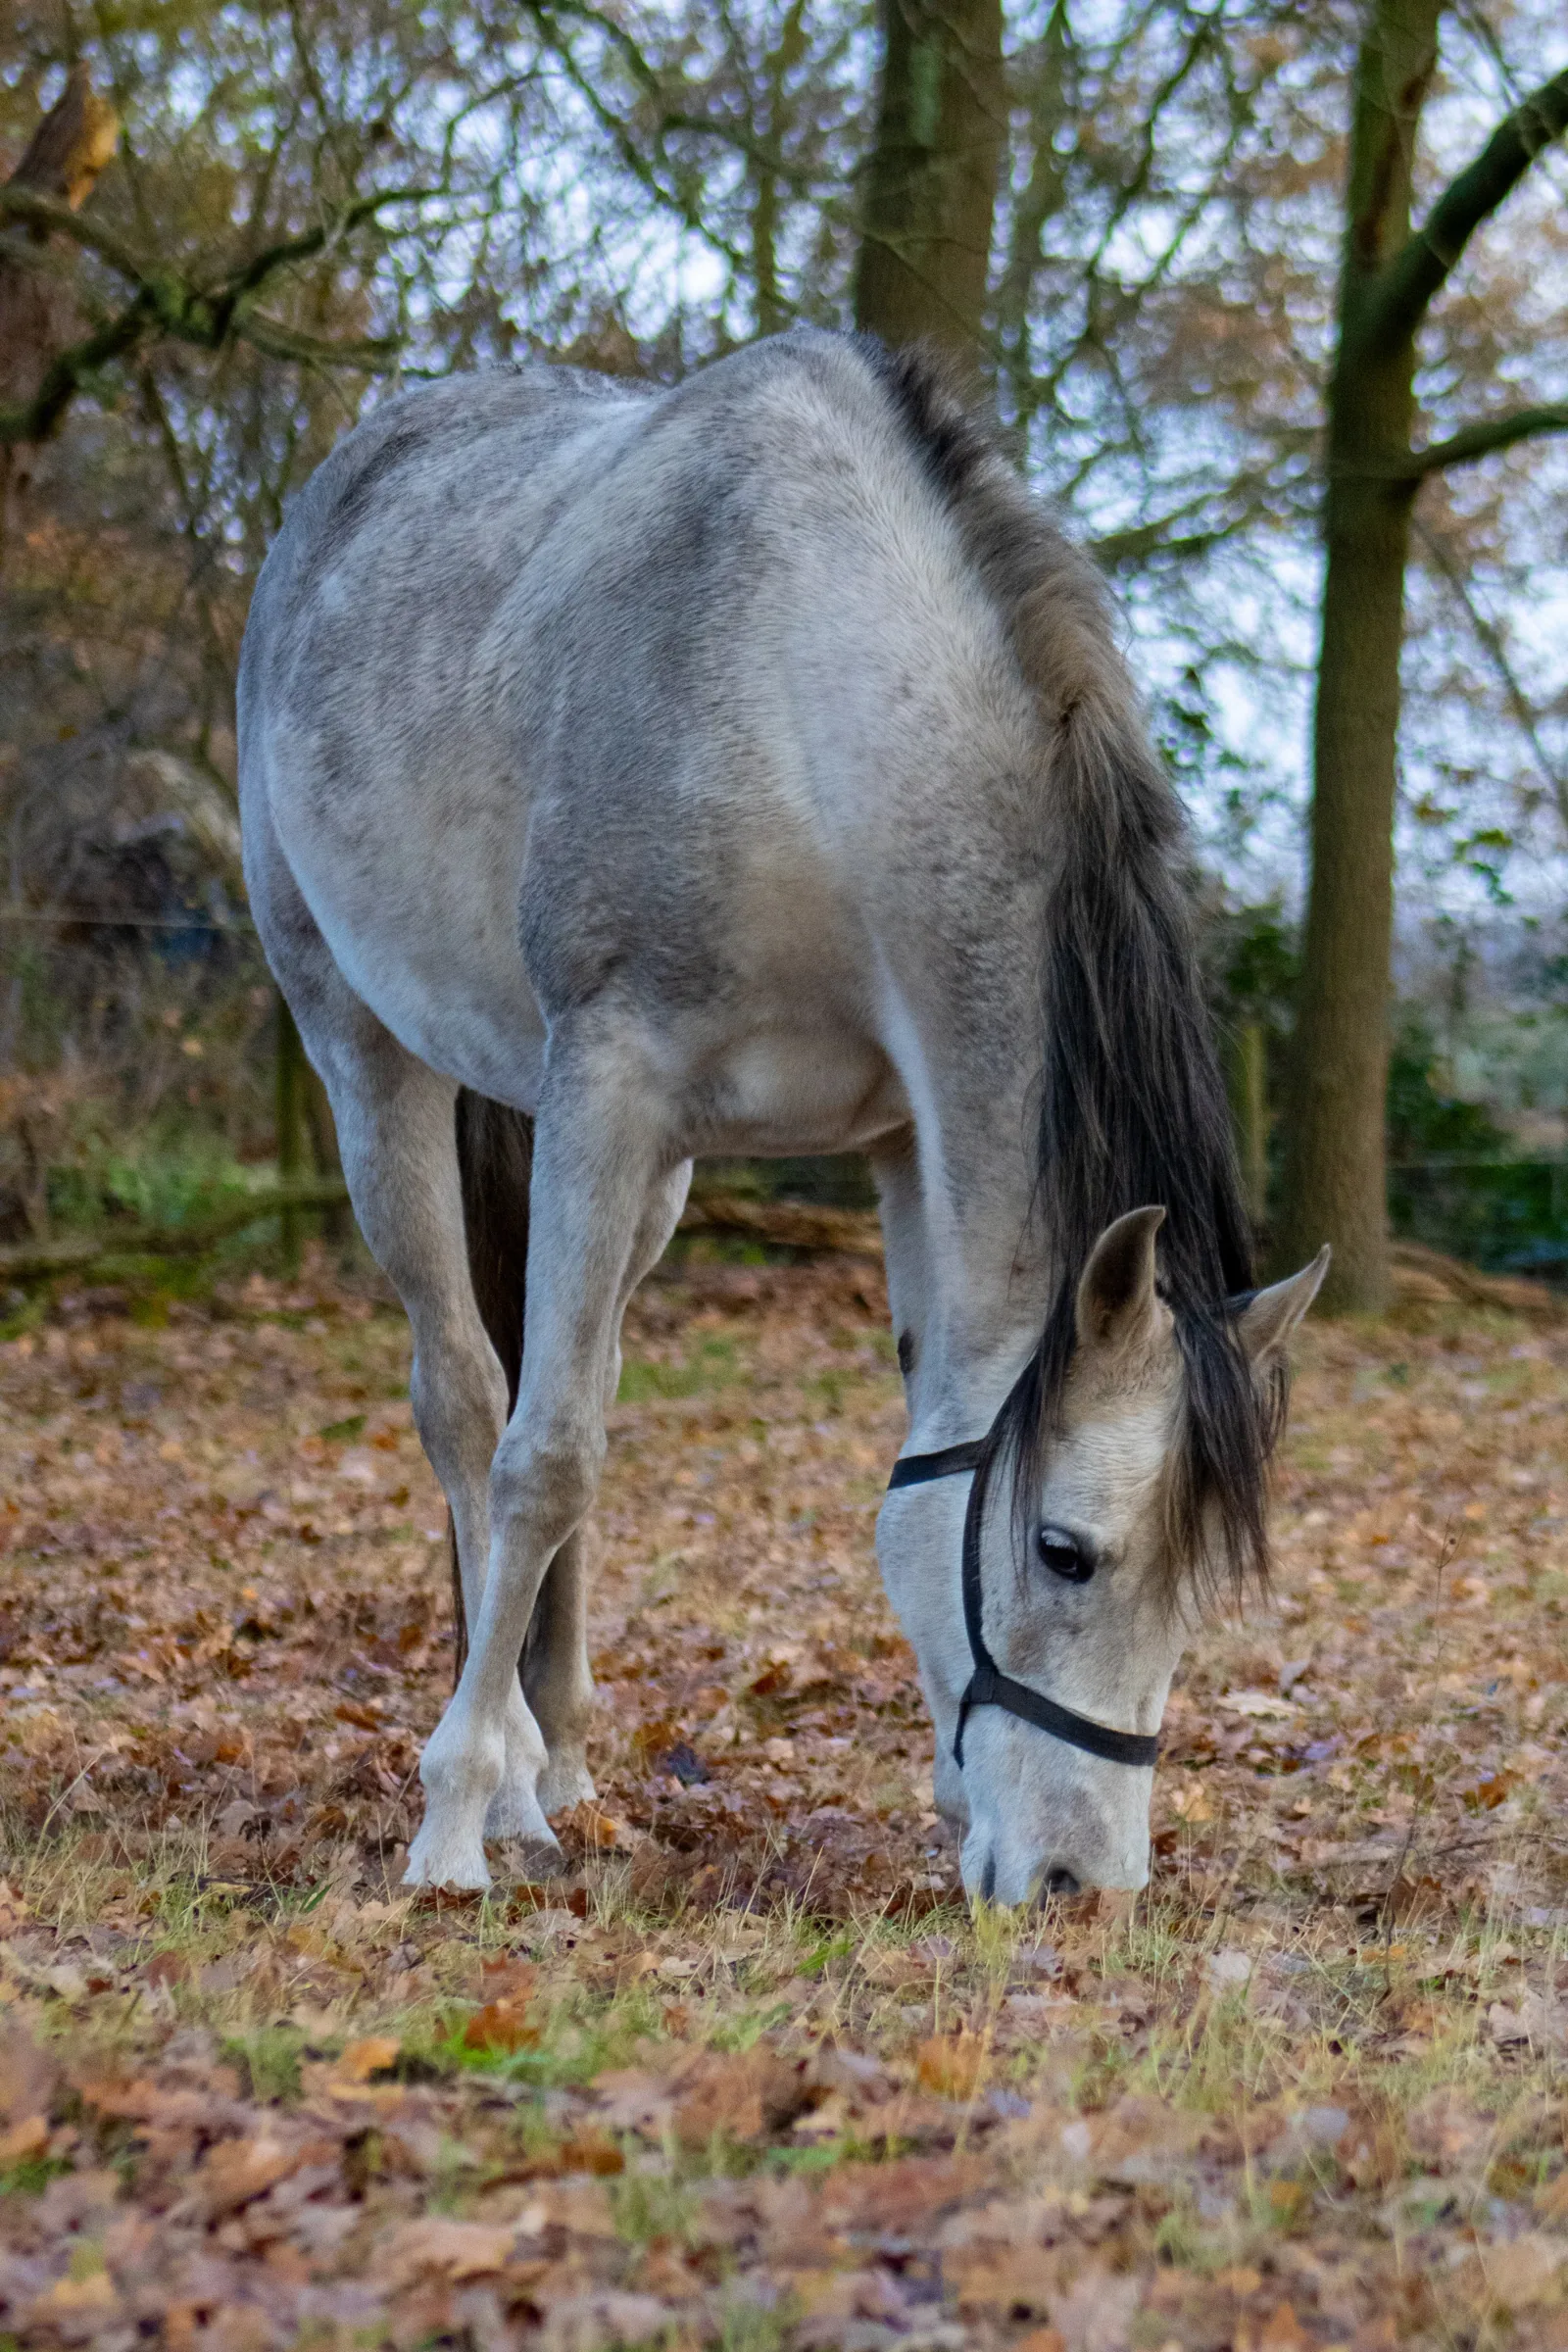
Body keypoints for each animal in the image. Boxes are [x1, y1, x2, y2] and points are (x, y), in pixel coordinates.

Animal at [237, 329, 1326, 1904]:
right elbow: (541, 1457)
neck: (807, 728)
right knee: (468, 1400)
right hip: (369, 1056)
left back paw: (552, 1767)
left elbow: (905, 1447)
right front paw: (447, 1824)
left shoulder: (900, 1144)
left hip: (653, 1182)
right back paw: (490, 1777)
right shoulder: (605, 1083)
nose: (1084, 1890)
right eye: (1066, 1552)